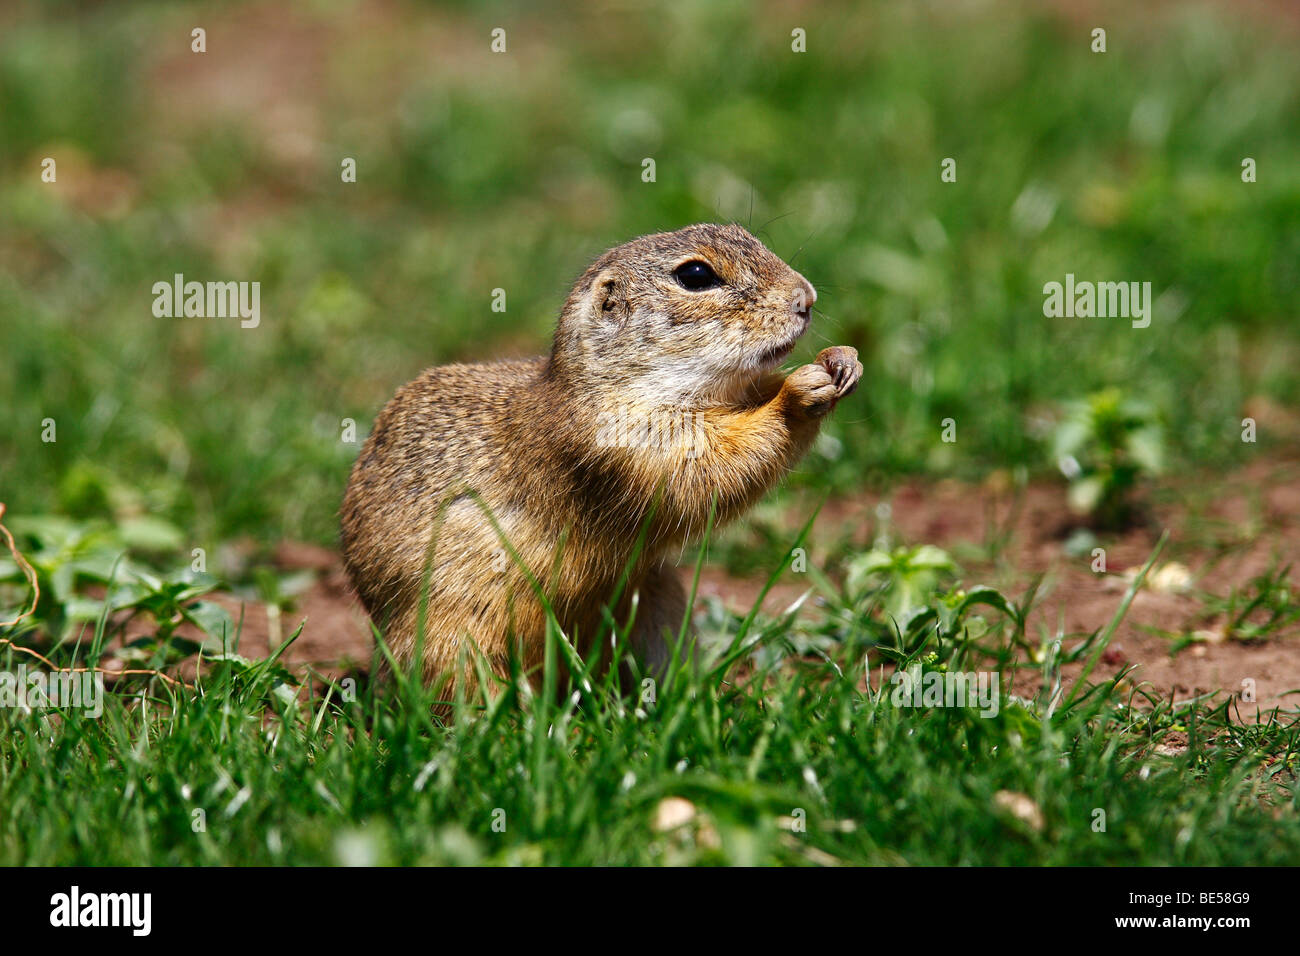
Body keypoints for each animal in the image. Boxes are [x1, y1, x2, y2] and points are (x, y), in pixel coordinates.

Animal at [340, 223, 861, 699]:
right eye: (695, 275)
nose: (806, 298)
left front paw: (842, 359)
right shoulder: (627, 444)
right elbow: (712, 469)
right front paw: (798, 393)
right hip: (453, 641)